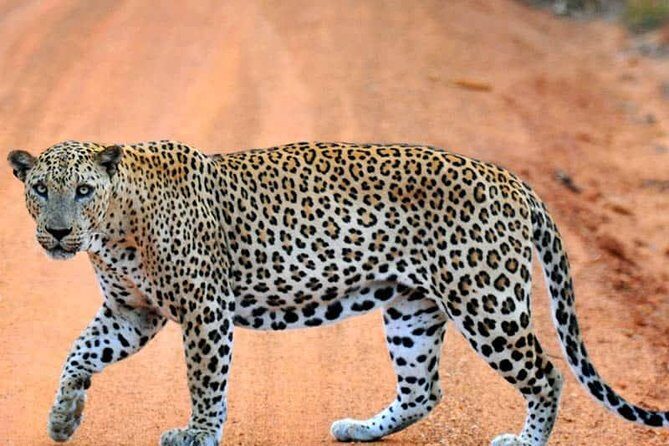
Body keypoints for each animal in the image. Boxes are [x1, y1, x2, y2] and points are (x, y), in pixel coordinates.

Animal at [7, 140, 668, 446]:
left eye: (83, 190)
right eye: (40, 188)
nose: (59, 232)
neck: (116, 228)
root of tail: (515, 181)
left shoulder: (203, 311)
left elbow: (205, 382)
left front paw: (198, 434)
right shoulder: (131, 313)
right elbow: (78, 353)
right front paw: (64, 418)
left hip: (486, 301)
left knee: (547, 373)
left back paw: (523, 440)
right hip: (411, 310)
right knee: (424, 390)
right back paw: (360, 428)